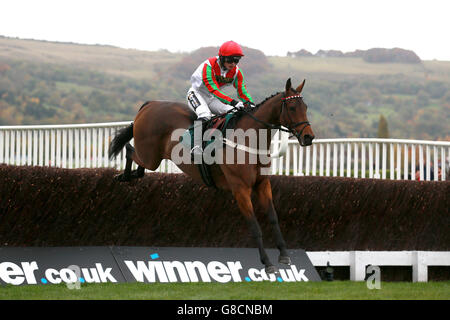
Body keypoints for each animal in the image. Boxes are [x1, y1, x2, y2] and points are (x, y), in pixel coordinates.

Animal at [109, 79, 314, 274]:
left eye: (305, 107)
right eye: (292, 108)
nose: (309, 137)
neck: (248, 139)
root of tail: (150, 104)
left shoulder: (262, 184)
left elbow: (273, 218)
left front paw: (285, 255)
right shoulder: (240, 189)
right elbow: (254, 226)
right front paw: (268, 263)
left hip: (152, 158)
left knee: (139, 166)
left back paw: (130, 175)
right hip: (150, 156)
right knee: (129, 149)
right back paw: (123, 176)